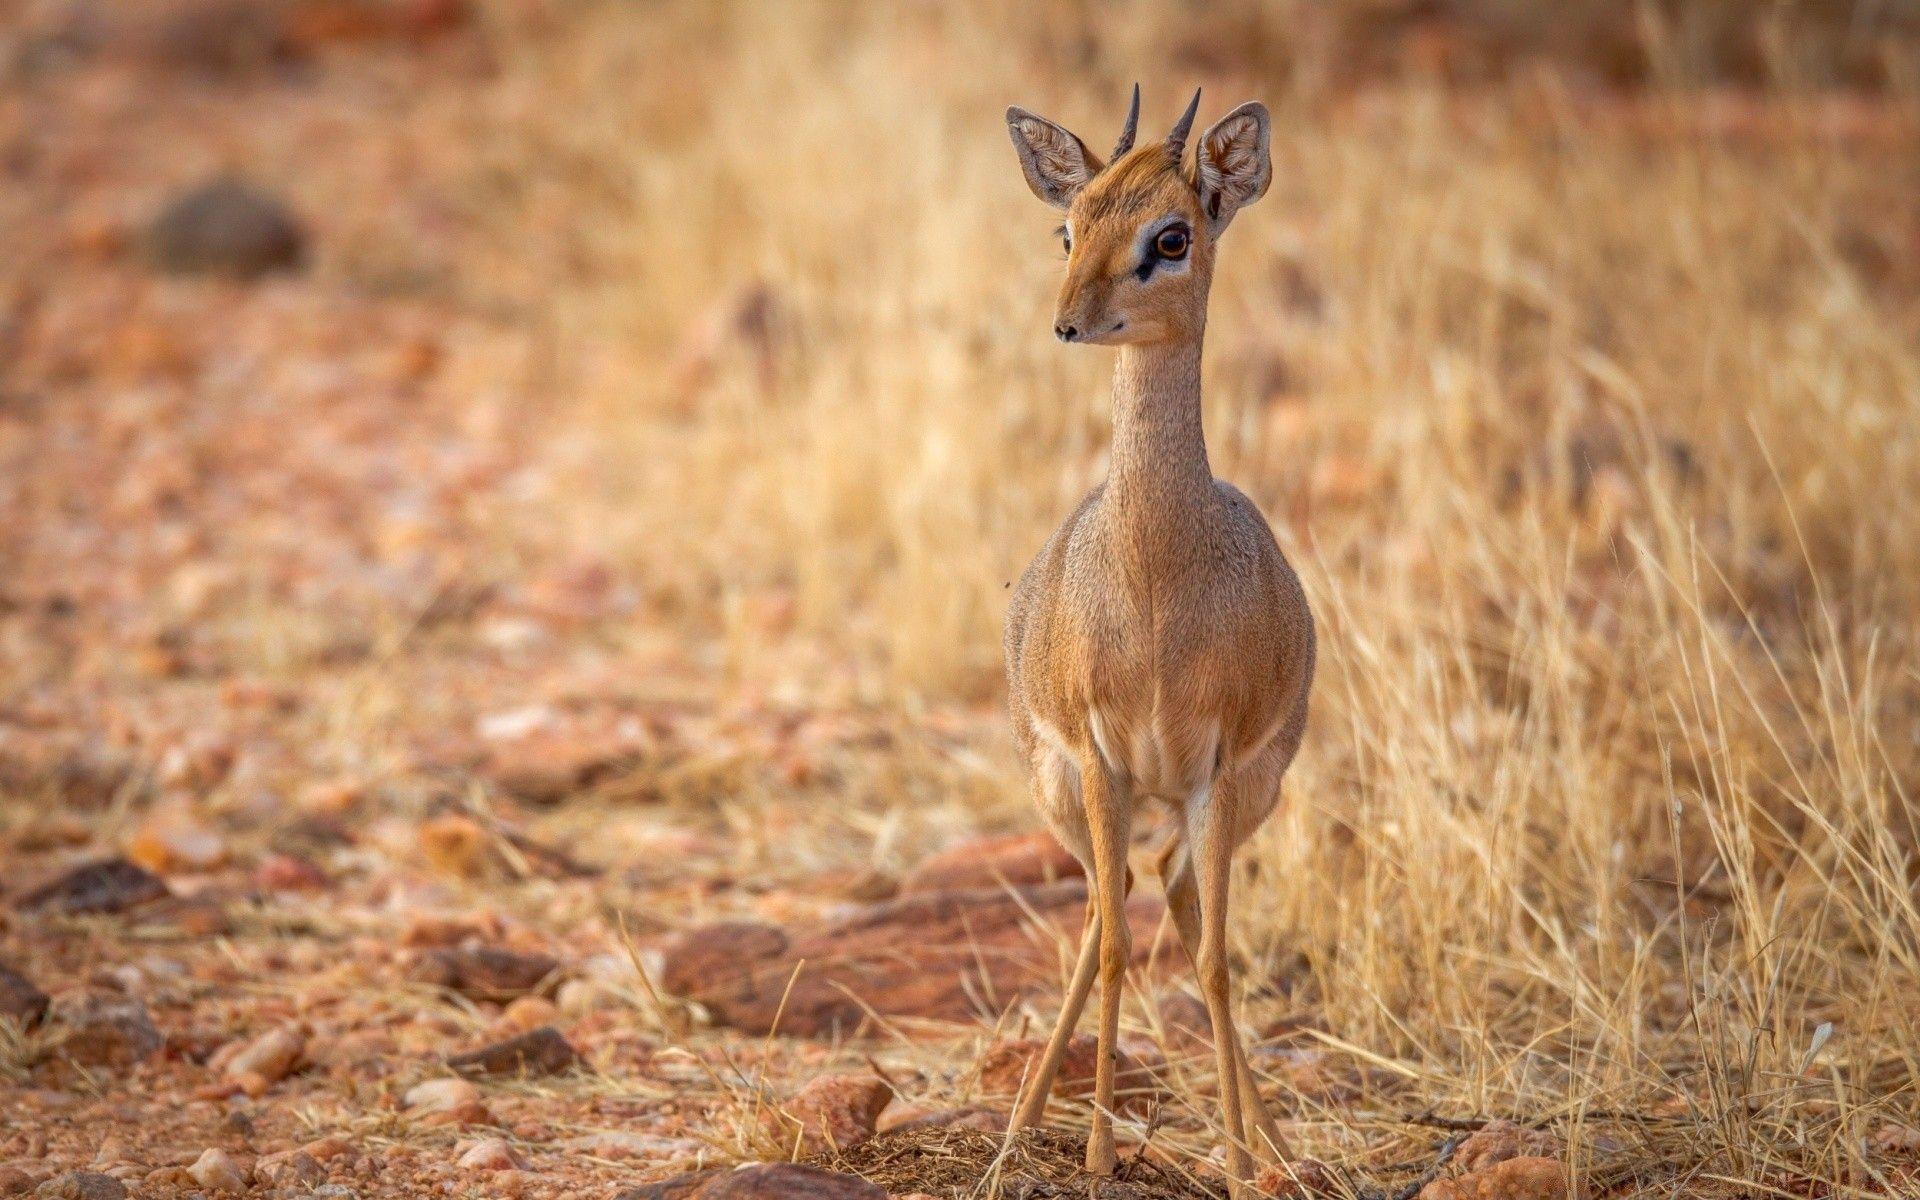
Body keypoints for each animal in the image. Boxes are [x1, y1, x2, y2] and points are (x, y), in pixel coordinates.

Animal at [999, 86, 1315, 1194]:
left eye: (1170, 236)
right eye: (1069, 225)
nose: (1066, 322)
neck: (1154, 585)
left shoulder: (1217, 767)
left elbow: (1215, 962)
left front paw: (1238, 1162)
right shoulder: (1101, 757)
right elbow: (1116, 948)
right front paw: (1096, 1152)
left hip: (1232, 797)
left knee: (1172, 896)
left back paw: (1265, 1143)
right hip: (1073, 791)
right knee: (1111, 906)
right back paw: (1022, 1126)